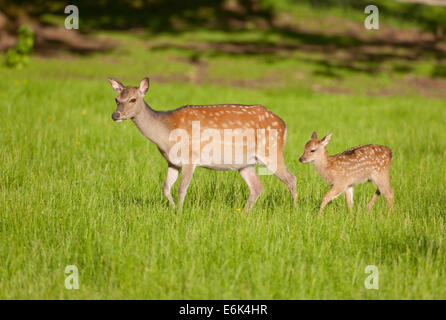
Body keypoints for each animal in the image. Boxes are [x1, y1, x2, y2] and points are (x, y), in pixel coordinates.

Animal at [107, 77, 296, 211]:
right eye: (116, 99)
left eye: (132, 99)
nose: (115, 115)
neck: (166, 134)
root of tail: (284, 124)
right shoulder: (172, 162)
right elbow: (166, 188)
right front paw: (173, 210)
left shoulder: (190, 158)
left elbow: (181, 189)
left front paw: (180, 214)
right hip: (245, 163)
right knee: (257, 187)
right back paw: (243, 214)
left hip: (271, 150)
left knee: (291, 179)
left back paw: (295, 211)